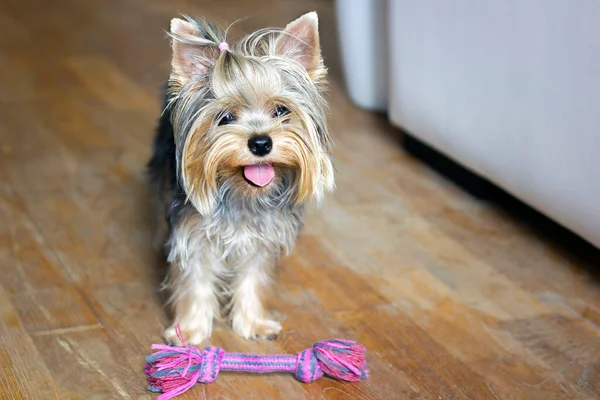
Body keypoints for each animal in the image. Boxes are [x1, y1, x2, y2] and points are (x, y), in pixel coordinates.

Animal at [145, 12, 332, 344]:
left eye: (281, 110)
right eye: (225, 117)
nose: (261, 143)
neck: (243, 193)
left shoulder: (263, 238)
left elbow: (252, 278)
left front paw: (253, 322)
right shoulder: (193, 235)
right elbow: (195, 280)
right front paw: (189, 330)